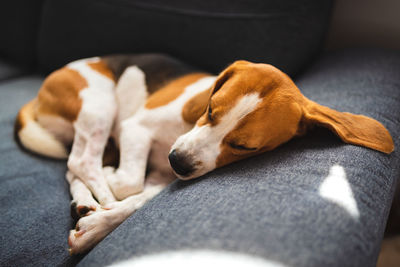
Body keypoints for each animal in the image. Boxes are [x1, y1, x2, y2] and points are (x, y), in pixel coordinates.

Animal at [14, 54, 394, 253]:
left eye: (245, 147)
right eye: (211, 109)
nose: (178, 162)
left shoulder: (162, 175)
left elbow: (139, 199)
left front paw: (97, 226)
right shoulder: (136, 128)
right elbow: (128, 185)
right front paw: (108, 199)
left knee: (74, 165)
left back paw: (87, 203)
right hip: (98, 103)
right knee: (80, 160)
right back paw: (99, 194)